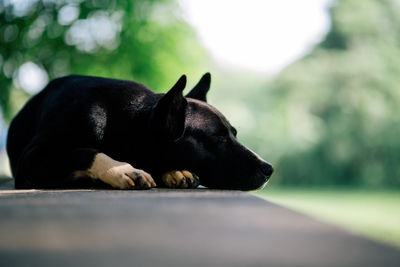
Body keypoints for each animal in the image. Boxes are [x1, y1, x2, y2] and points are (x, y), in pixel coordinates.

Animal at [6, 73, 274, 191]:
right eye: (218, 137)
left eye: (234, 133)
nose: (269, 169)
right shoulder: (32, 158)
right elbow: (86, 152)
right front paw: (122, 169)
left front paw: (174, 171)